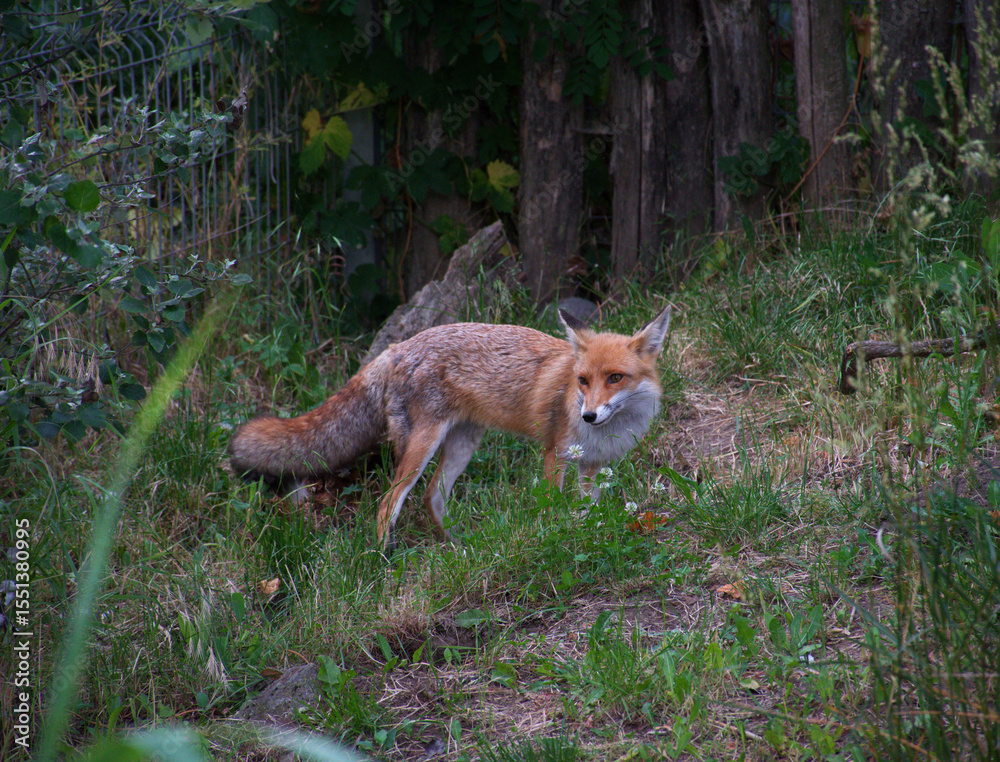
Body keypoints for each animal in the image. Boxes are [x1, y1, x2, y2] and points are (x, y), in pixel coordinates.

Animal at [229, 305, 672, 550]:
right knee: (388, 502)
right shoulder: (556, 454)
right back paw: (382, 559)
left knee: (432, 496)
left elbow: (590, 509)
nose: (588, 416)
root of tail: (396, 348)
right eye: (582, 380)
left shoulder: (593, 465)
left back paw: (457, 547)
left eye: (615, 378)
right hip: (423, 445)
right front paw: (558, 537)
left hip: (463, 445)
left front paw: (589, 533)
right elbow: (553, 507)